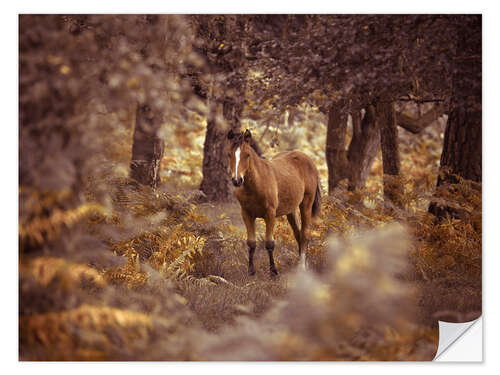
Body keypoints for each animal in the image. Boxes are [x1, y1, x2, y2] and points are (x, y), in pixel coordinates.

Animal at [227, 131, 320, 278]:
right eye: (229, 154)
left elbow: (269, 243)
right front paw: (251, 271)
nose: (237, 180)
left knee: (305, 233)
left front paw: (273, 271)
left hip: (306, 203)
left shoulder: (270, 214)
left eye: (247, 154)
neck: (257, 185)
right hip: (291, 210)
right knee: (298, 234)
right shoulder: (246, 214)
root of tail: (307, 159)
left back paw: (302, 267)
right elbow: (251, 243)